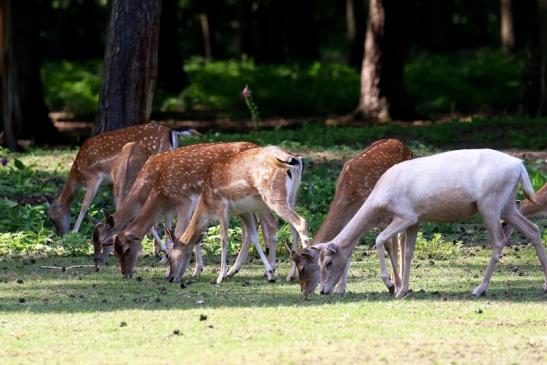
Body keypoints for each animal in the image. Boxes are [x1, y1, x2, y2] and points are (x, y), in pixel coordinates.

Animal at [165, 145, 310, 284]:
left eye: (169, 255)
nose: (170, 278)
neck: (206, 202)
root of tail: (295, 159)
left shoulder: (222, 208)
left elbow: (224, 239)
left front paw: (220, 276)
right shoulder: (244, 211)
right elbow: (253, 236)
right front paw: (270, 274)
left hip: (274, 196)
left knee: (301, 223)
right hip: (292, 196)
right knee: (293, 227)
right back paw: (291, 275)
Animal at [288, 138, 414, 294]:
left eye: (303, 268)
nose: (303, 290)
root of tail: (404, 146)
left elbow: (388, 245)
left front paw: (393, 284)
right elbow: (350, 247)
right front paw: (340, 289)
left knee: (401, 239)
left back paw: (400, 283)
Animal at [312, 149, 547, 298]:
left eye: (328, 263)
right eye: (319, 262)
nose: (323, 290)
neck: (379, 198)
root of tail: (520, 166)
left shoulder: (405, 215)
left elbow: (379, 239)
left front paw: (391, 284)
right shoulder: (415, 220)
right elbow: (408, 252)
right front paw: (402, 291)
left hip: (489, 204)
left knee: (499, 241)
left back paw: (479, 289)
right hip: (507, 205)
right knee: (533, 230)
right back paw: (544, 285)